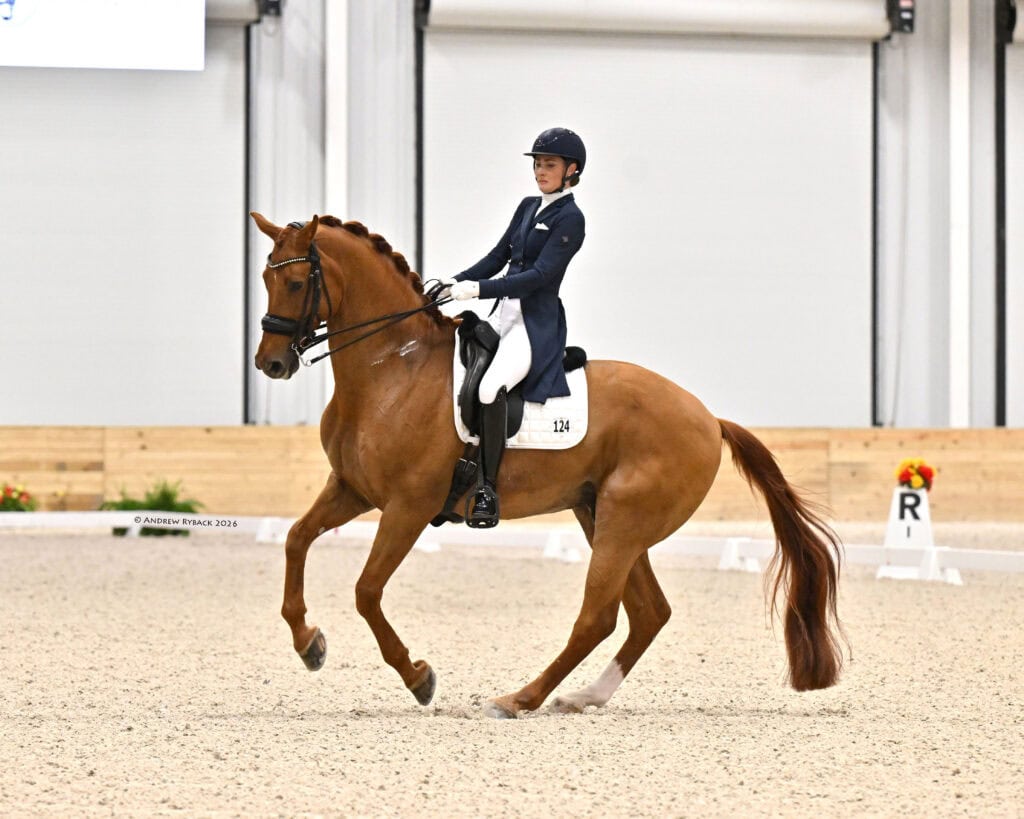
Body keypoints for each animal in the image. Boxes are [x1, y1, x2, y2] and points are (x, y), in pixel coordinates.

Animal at [251, 212, 845, 718]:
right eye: (264, 276)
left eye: (297, 283)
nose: (270, 364)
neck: (394, 370)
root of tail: (709, 418)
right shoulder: (351, 489)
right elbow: (296, 540)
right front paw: (308, 643)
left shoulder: (409, 507)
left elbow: (366, 591)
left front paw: (418, 677)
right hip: (600, 515)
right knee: (649, 613)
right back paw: (582, 697)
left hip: (624, 523)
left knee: (598, 617)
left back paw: (519, 698)